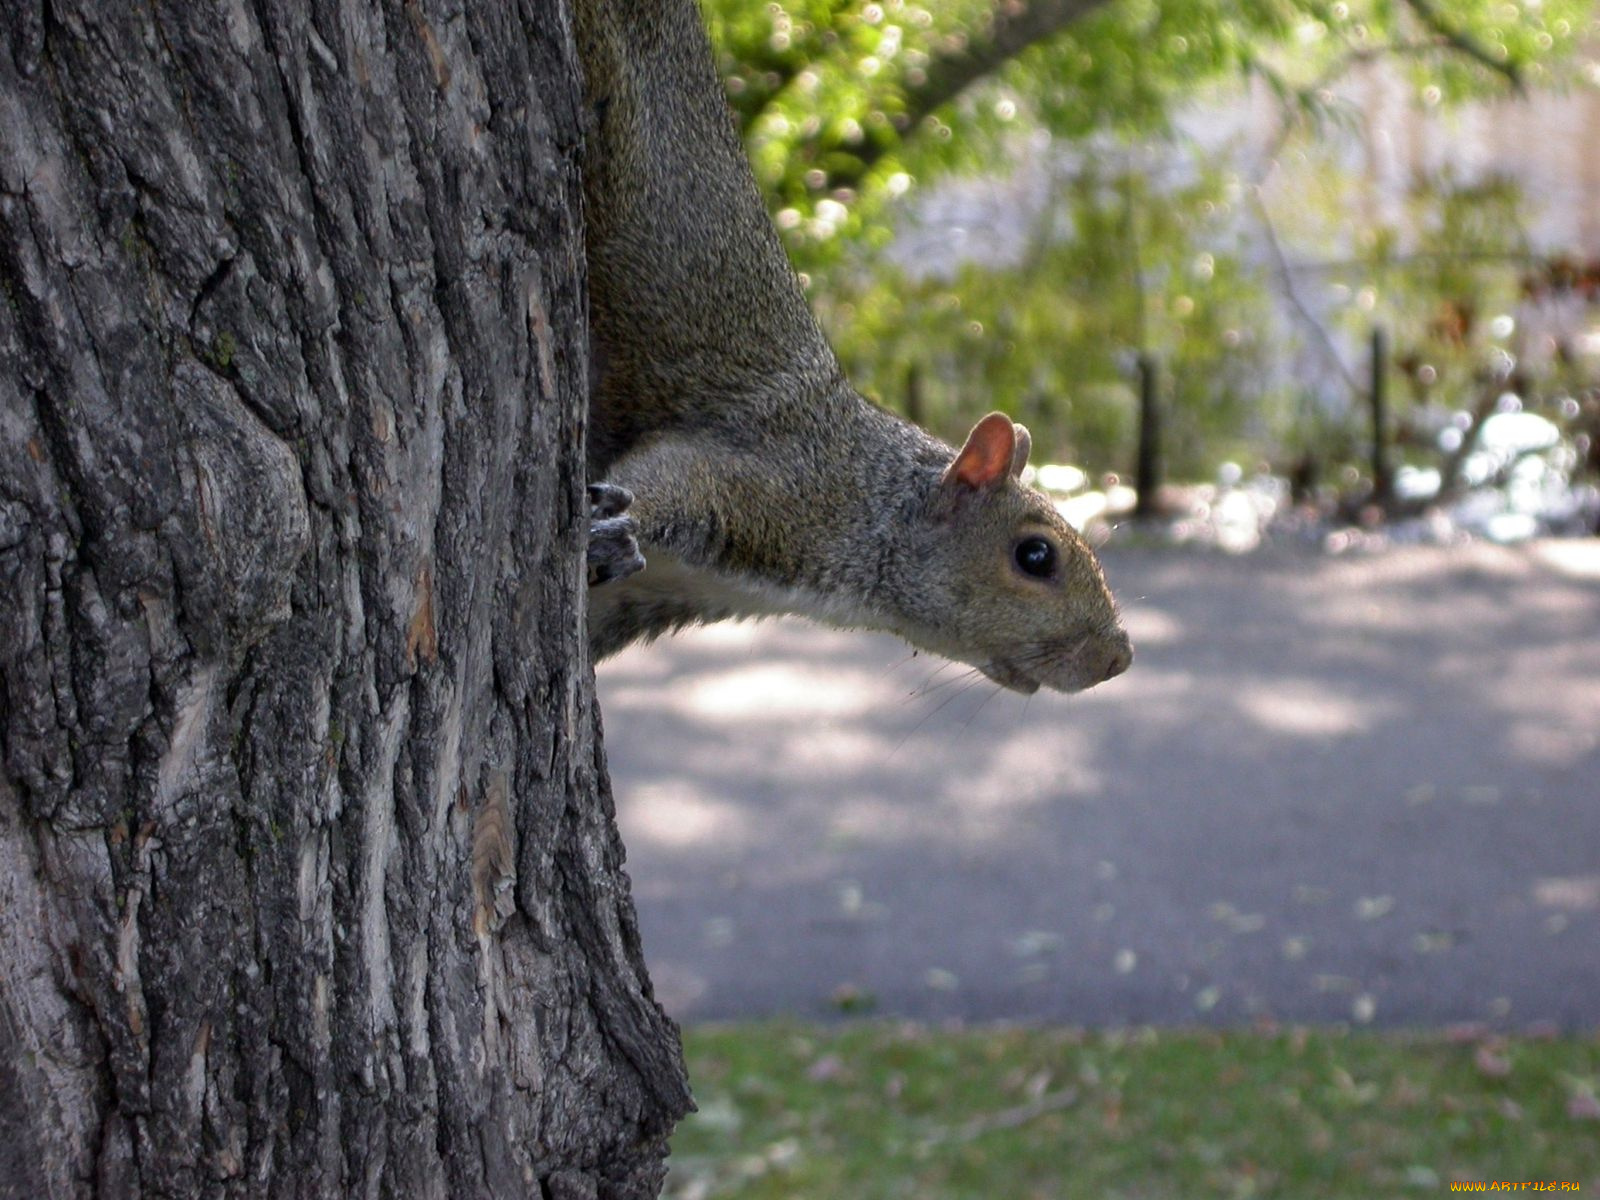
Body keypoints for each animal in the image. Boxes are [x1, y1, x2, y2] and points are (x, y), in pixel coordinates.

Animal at [569, 0, 1132, 694]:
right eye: (1035, 555)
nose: (1118, 659)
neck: (874, 503)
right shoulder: (768, 479)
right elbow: (663, 480)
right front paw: (612, 527)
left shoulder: (645, 597)